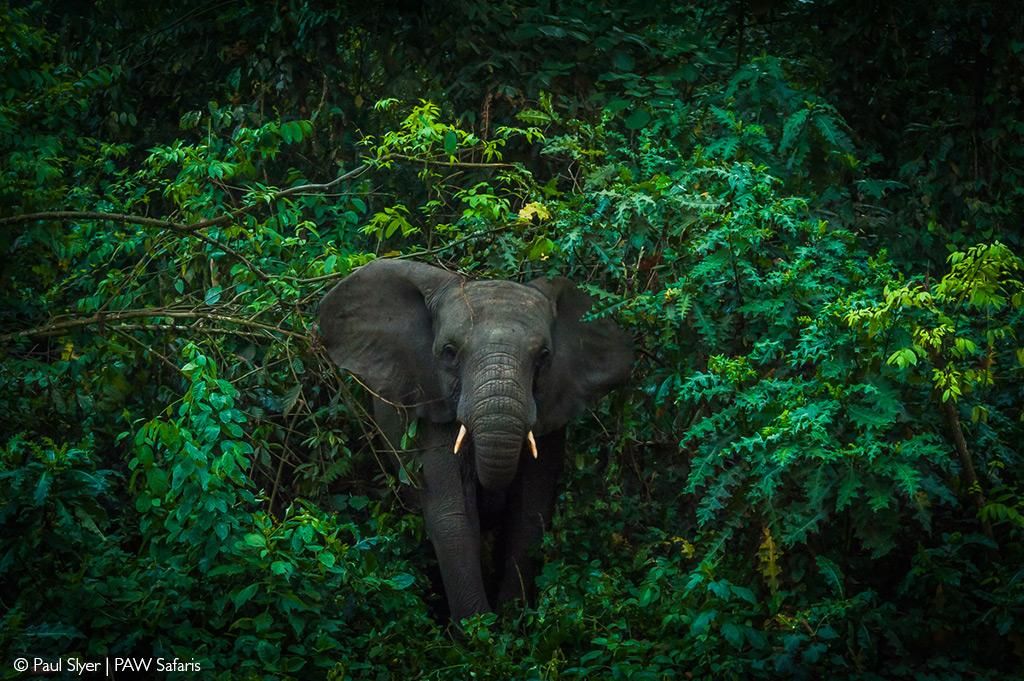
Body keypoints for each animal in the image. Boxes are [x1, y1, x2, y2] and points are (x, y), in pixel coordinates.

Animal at [318, 259, 632, 622]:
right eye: (449, 352)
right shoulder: (434, 407)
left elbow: (530, 515)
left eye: (543, 356)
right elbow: (452, 517)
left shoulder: (552, 416)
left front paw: (510, 621)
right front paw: (477, 629)